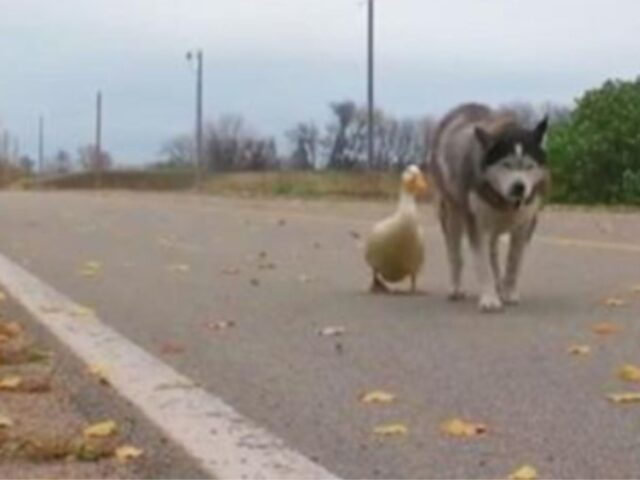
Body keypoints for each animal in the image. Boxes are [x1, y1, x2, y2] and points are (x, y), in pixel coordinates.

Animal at [428, 102, 548, 312]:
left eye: (529, 166)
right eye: (506, 164)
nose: (519, 187)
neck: (505, 201)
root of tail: (462, 107)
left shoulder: (526, 223)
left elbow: (514, 262)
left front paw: (509, 292)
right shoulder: (475, 224)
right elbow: (482, 264)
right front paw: (489, 299)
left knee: (493, 252)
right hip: (452, 212)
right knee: (455, 253)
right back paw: (456, 288)